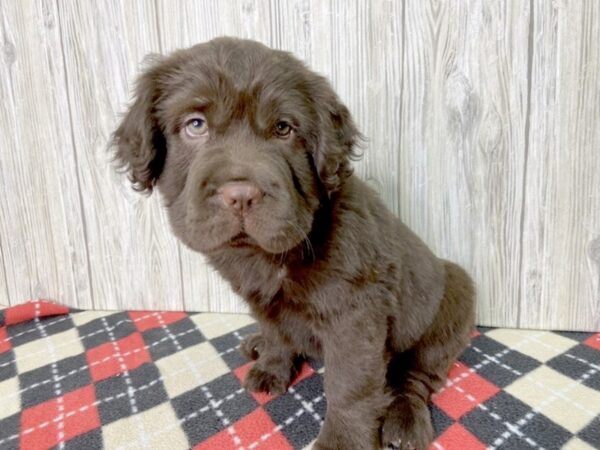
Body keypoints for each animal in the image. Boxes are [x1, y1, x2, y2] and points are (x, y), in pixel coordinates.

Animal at [113, 37, 474, 450]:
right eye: (195, 125)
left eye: (284, 129)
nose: (241, 194)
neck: (268, 255)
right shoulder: (263, 300)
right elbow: (276, 333)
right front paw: (272, 367)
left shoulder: (354, 313)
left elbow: (350, 385)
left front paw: (342, 442)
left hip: (451, 301)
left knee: (418, 372)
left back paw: (405, 421)